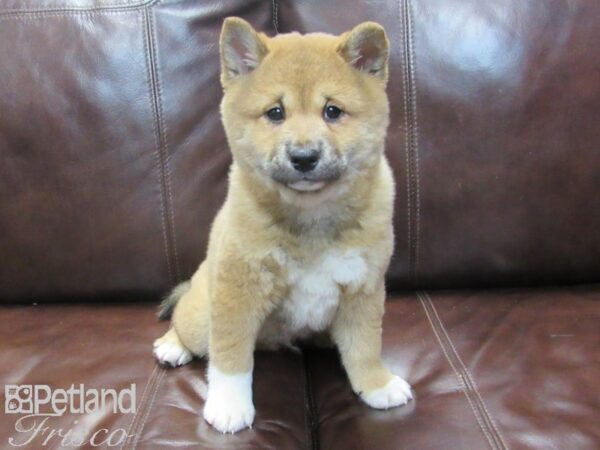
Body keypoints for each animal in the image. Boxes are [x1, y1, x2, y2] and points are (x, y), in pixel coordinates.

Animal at [152, 16, 412, 432]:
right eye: (276, 113)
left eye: (332, 111)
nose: (304, 157)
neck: (311, 217)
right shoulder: (238, 290)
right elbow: (230, 357)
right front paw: (229, 405)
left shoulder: (363, 289)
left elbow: (365, 346)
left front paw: (377, 384)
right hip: (202, 310)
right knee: (186, 321)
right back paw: (172, 345)